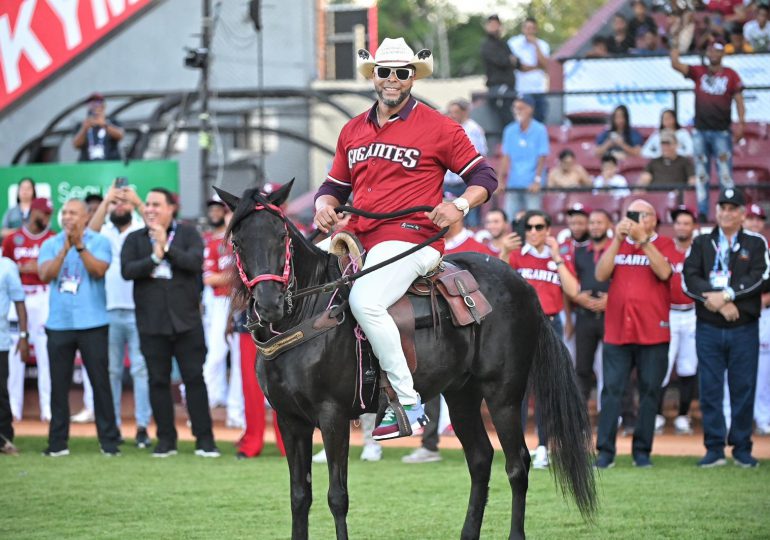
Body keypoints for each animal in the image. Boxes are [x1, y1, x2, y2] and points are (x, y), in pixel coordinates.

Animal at [216, 182, 592, 540]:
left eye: (282, 238)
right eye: (237, 242)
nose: (270, 304)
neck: (310, 311)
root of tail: (522, 284)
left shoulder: (332, 415)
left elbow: (337, 496)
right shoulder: (289, 419)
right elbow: (299, 495)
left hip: (503, 395)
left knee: (517, 465)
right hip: (462, 394)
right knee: (480, 459)